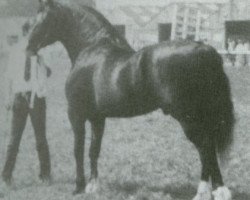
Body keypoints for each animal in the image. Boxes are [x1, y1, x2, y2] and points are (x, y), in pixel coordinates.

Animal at [27, 0, 234, 199]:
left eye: (43, 19)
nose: (29, 47)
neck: (91, 49)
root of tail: (205, 50)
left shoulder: (76, 114)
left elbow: (77, 149)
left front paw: (79, 187)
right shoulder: (97, 117)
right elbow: (94, 149)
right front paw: (93, 186)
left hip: (188, 118)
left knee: (205, 147)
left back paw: (206, 192)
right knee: (209, 148)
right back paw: (215, 191)